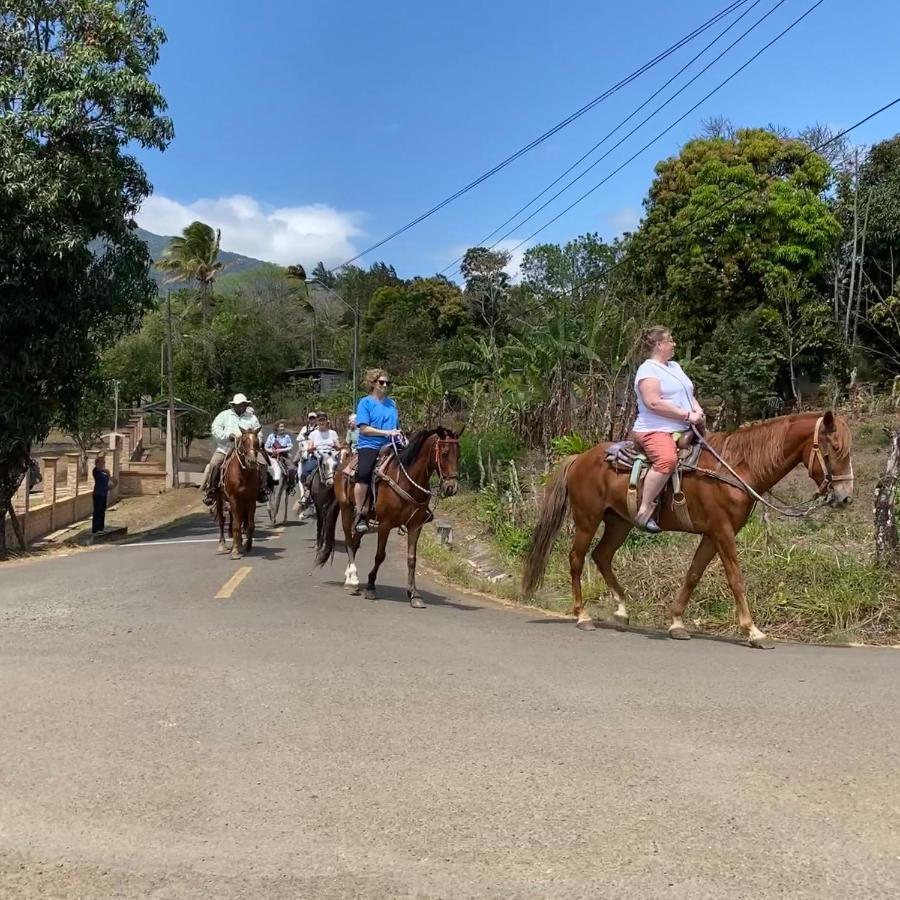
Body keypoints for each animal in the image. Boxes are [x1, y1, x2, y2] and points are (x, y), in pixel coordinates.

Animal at [216, 430, 262, 564]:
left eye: (257, 442)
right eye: (244, 441)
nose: (252, 461)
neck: (243, 475)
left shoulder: (251, 500)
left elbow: (249, 525)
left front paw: (247, 545)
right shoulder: (234, 500)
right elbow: (236, 526)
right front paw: (235, 552)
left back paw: (240, 544)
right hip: (220, 499)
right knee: (222, 521)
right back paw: (222, 544)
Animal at [316, 428, 460, 608]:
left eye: (458, 454)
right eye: (444, 452)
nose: (451, 488)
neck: (407, 480)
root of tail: (342, 466)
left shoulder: (415, 526)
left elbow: (412, 559)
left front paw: (414, 594)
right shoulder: (385, 524)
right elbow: (380, 555)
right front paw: (371, 587)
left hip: (363, 518)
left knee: (355, 542)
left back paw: (349, 577)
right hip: (346, 509)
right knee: (349, 541)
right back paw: (353, 580)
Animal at [520, 414, 852, 648]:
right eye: (834, 449)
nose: (845, 496)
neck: (737, 467)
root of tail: (580, 457)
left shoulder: (712, 534)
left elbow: (693, 575)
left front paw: (677, 623)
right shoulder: (723, 531)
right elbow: (736, 579)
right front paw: (753, 631)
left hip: (619, 522)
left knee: (601, 556)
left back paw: (622, 610)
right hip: (587, 519)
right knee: (577, 558)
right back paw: (582, 616)